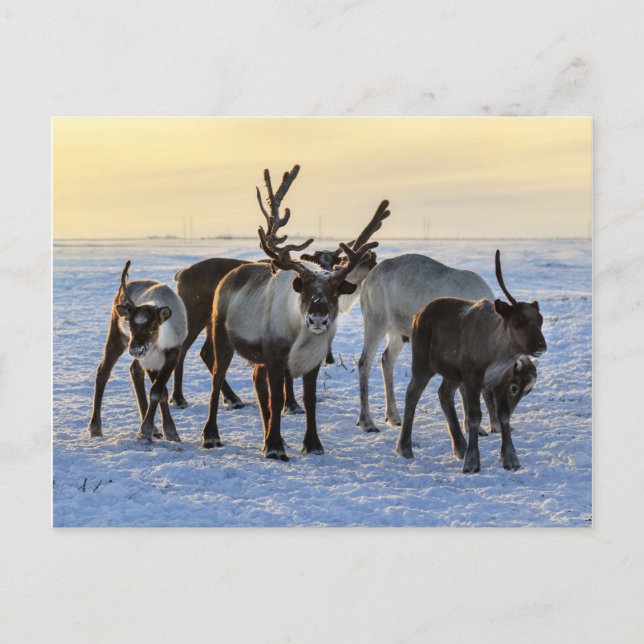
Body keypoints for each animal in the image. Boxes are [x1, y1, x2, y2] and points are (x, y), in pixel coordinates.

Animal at [87, 261, 188, 442]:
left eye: (153, 326)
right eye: (131, 326)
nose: (135, 349)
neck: (160, 342)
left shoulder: (173, 353)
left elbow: (158, 391)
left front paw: (168, 431)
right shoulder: (148, 359)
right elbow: (159, 391)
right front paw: (146, 431)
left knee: (134, 370)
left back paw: (155, 429)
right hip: (116, 336)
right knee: (103, 371)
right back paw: (95, 428)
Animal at [200, 164, 390, 460]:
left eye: (334, 293)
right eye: (307, 291)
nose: (318, 319)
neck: (299, 335)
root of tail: (228, 277)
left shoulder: (313, 360)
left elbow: (309, 400)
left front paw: (311, 443)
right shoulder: (274, 354)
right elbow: (278, 398)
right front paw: (275, 447)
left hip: (256, 356)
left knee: (256, 381)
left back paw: (265, 434)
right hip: (222, 335)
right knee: (217, 378)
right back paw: (211, 435)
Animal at [395, 250, 547, 473]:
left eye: (540, 320)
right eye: (517, 321)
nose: (541, 345)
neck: (497, 353)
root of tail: (417, 315)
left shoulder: (501, 379)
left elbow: (503, 416)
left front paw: (510, 459)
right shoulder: (472, 377)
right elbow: (475, 416)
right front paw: (472, 461)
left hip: (452, 374)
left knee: (444, 394)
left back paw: (459, 447)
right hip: (423, 364)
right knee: (412, 394)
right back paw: (405, 448)